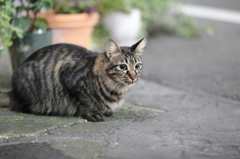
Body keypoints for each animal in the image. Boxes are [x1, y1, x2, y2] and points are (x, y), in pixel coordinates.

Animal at [8, 37, 145, 121]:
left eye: (137, 66)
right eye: (122, 66)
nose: (133, 77)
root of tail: (12, 92)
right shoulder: (68, 77)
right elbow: (83, 101)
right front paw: (92, 113)